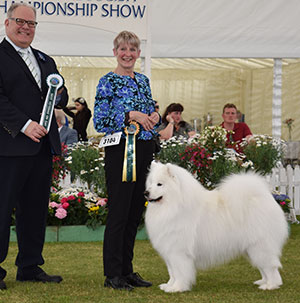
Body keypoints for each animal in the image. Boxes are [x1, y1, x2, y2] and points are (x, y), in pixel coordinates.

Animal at [144, 163, 290, 294]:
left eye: (160, 184)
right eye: (150, 183)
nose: (146, 192)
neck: (173, 206)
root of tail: (266, 198)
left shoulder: (178, 252)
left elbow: (179, 273)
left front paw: (177, 288)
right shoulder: (169, 252)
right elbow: (172, 273)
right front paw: (169, 285)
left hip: (260, 246)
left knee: (271, 268)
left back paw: (270, 285)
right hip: (251, 249)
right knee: (264, 267)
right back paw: (263, 282)